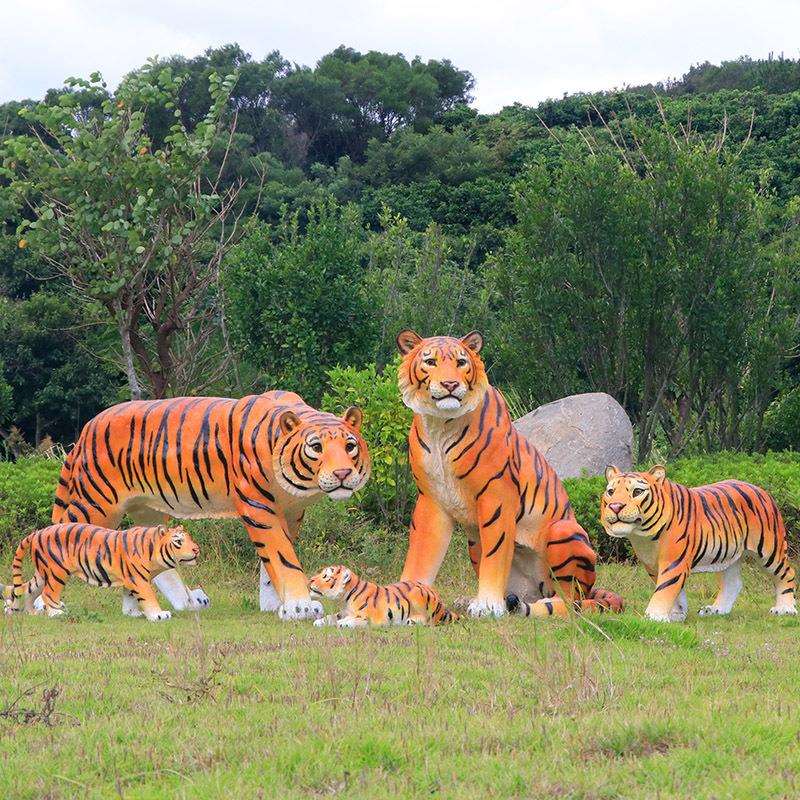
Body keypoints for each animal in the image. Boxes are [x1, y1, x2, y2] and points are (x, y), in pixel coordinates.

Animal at [4, 523, 199, 621]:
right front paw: (158, 615)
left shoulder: (130, 579)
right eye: (178, 541)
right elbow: (148, 597)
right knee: (47, 594)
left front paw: (132, 614)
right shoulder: (139, 579)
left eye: (189, 538)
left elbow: (130, 598)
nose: (196, 549)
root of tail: (37, 532)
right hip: (56, 573)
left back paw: (27, 612)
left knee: (25, 590)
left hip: (43, 573)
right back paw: (56, 613)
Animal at [51, 390, 370, 621]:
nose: (343, 473)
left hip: (147, 509)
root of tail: (87, 427)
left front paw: (274, 605)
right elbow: (281, 555)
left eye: (350, 446)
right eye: (316, 447)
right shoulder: (258, 507)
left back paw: (164, 605)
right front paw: (300, 606)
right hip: (96, 503)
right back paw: (47, 606)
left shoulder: (291, 513)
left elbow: (273, 563)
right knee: (60, 534)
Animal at [308, 565, 459, 627]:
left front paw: (344, 623)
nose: (310, 580)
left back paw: (413, 621)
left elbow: (355, 621)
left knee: (432, 621)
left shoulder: (375, 619)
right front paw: (319, 621)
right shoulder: (343, 612)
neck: (344, 600)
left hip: (418, 595)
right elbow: (331, 617)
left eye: (326, 576)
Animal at [396, 329, 624, 618]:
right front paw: (404, 595)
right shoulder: (431, 499)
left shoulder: (497, 497)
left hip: (563, 532)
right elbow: (421, 553)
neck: (440, 425)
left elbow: (495, 554)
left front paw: (486, 605)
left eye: (461, 362)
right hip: (475, 543)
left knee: (572, 601)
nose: (449, 384)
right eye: (430, 362)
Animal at [601, 465, 797, 621]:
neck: (643, 536)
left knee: (787, 573)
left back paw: (785, 609)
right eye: (611, 492)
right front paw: (677, 614)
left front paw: (654, 617)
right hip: (730, 555)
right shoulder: (652, 564)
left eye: (637, 492)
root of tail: (761, 490)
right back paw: (716, 610)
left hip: (770, 551)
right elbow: (673, 590)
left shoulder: (674, 561)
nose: (615, 506)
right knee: (733, 583)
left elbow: (665, 588)